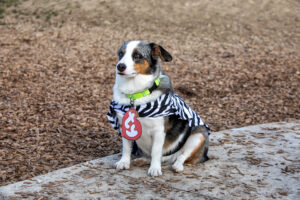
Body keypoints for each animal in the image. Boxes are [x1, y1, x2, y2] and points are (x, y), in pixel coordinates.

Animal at [106, 40, 210, 177]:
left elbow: (156, 151)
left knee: (182, 156)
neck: (135, 94)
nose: (120, 66)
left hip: (198, 135)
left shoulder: (159, 131)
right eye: (120, 54)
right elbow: (126, 148)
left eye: (137, 55)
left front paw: (154, 168)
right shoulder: (124, 127)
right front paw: (124, 162)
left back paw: (177, 165)